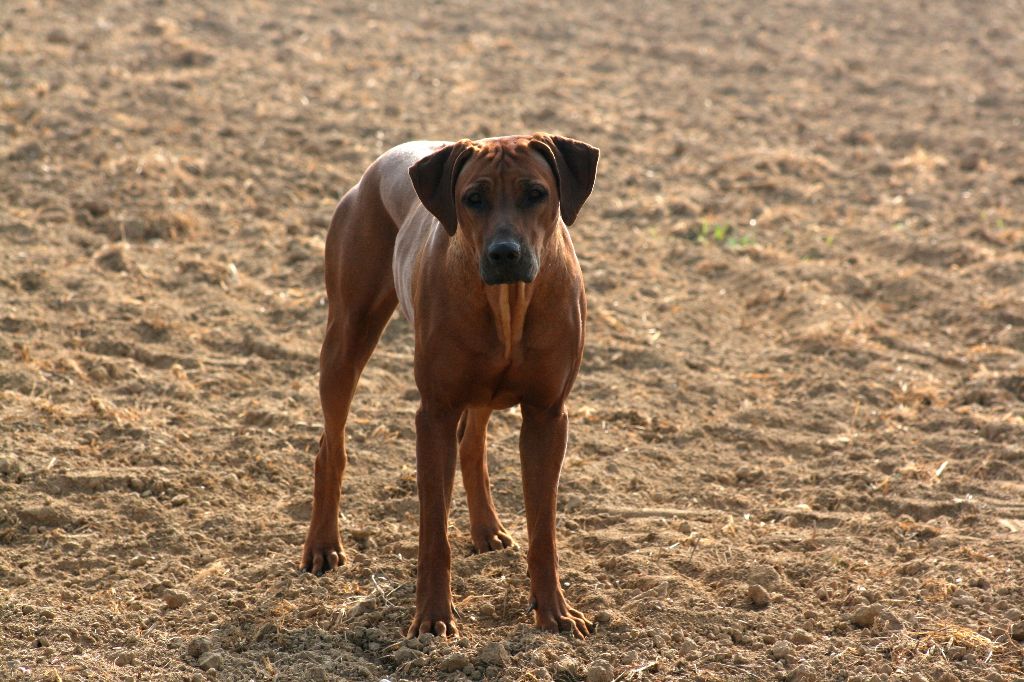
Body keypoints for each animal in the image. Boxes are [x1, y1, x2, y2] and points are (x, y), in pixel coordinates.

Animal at [296, 134, 598, 638]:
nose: (504, 253)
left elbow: (543, 530)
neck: (507, 301)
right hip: (346, 338)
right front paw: (433, 615)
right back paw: (322, 544)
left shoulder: (547, 415)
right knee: (330, 448)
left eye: (536, 193)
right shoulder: (434, 412)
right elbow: (433, 530)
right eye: (472, 199)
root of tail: (382, 162)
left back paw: (485, 529)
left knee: (471, 446)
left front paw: (554, 612)